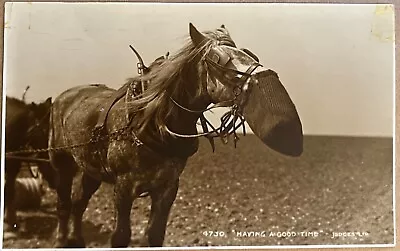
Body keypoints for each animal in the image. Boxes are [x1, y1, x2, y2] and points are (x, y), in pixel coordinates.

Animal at [48, 23, 302, 247]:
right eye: (219, 60)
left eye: (249, 54)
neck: (150, 122)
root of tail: (63, 96)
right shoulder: (123, 187)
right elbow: (120, 236)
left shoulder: (168, 187)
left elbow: (155, 234)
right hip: (61, 162)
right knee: (63, 204)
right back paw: (60, 240)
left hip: (92, 169)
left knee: (79, 203)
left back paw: (76, 240)